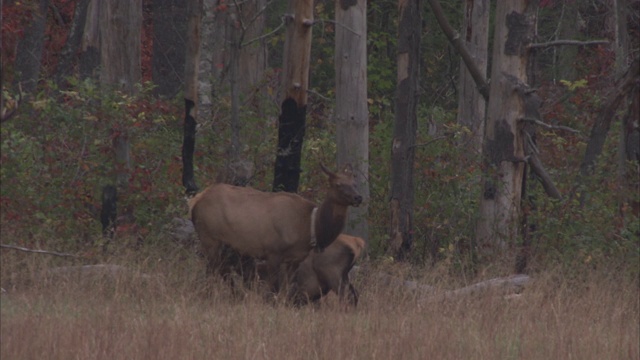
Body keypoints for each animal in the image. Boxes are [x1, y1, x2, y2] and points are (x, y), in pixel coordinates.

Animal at [188, 163, 362, 292]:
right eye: (338, 184)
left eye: (354, 183)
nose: (358, 197)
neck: (309, 227)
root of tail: (194, 202)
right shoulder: (272, 252)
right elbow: (273, 286)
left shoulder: (295, 259)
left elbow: (287, 288)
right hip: (209, 237)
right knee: (213, 269)